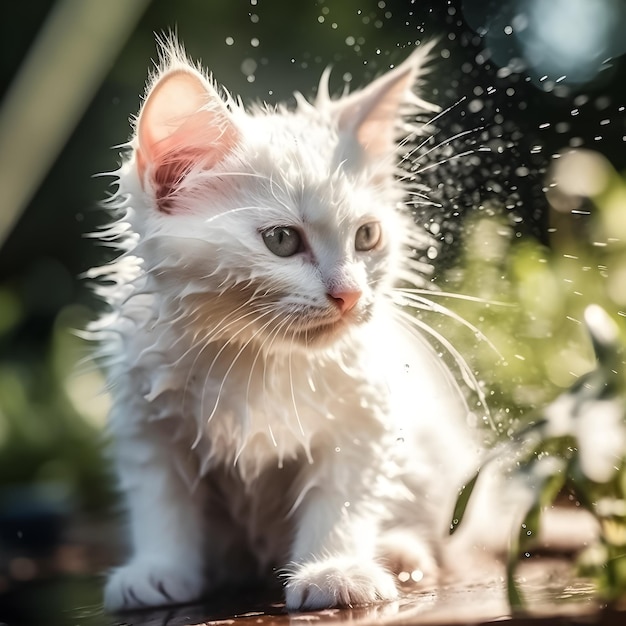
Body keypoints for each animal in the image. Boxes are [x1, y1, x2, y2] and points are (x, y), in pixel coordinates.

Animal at [91, 39, 482, 608]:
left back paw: (400, 554)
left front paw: (334, 570)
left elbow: (340, 503)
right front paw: (158, 568)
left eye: (367, 236)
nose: (350, 294)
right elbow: (161, 504)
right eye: (281, 240)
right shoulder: (147, 423)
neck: (257, 359)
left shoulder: (365, 417)